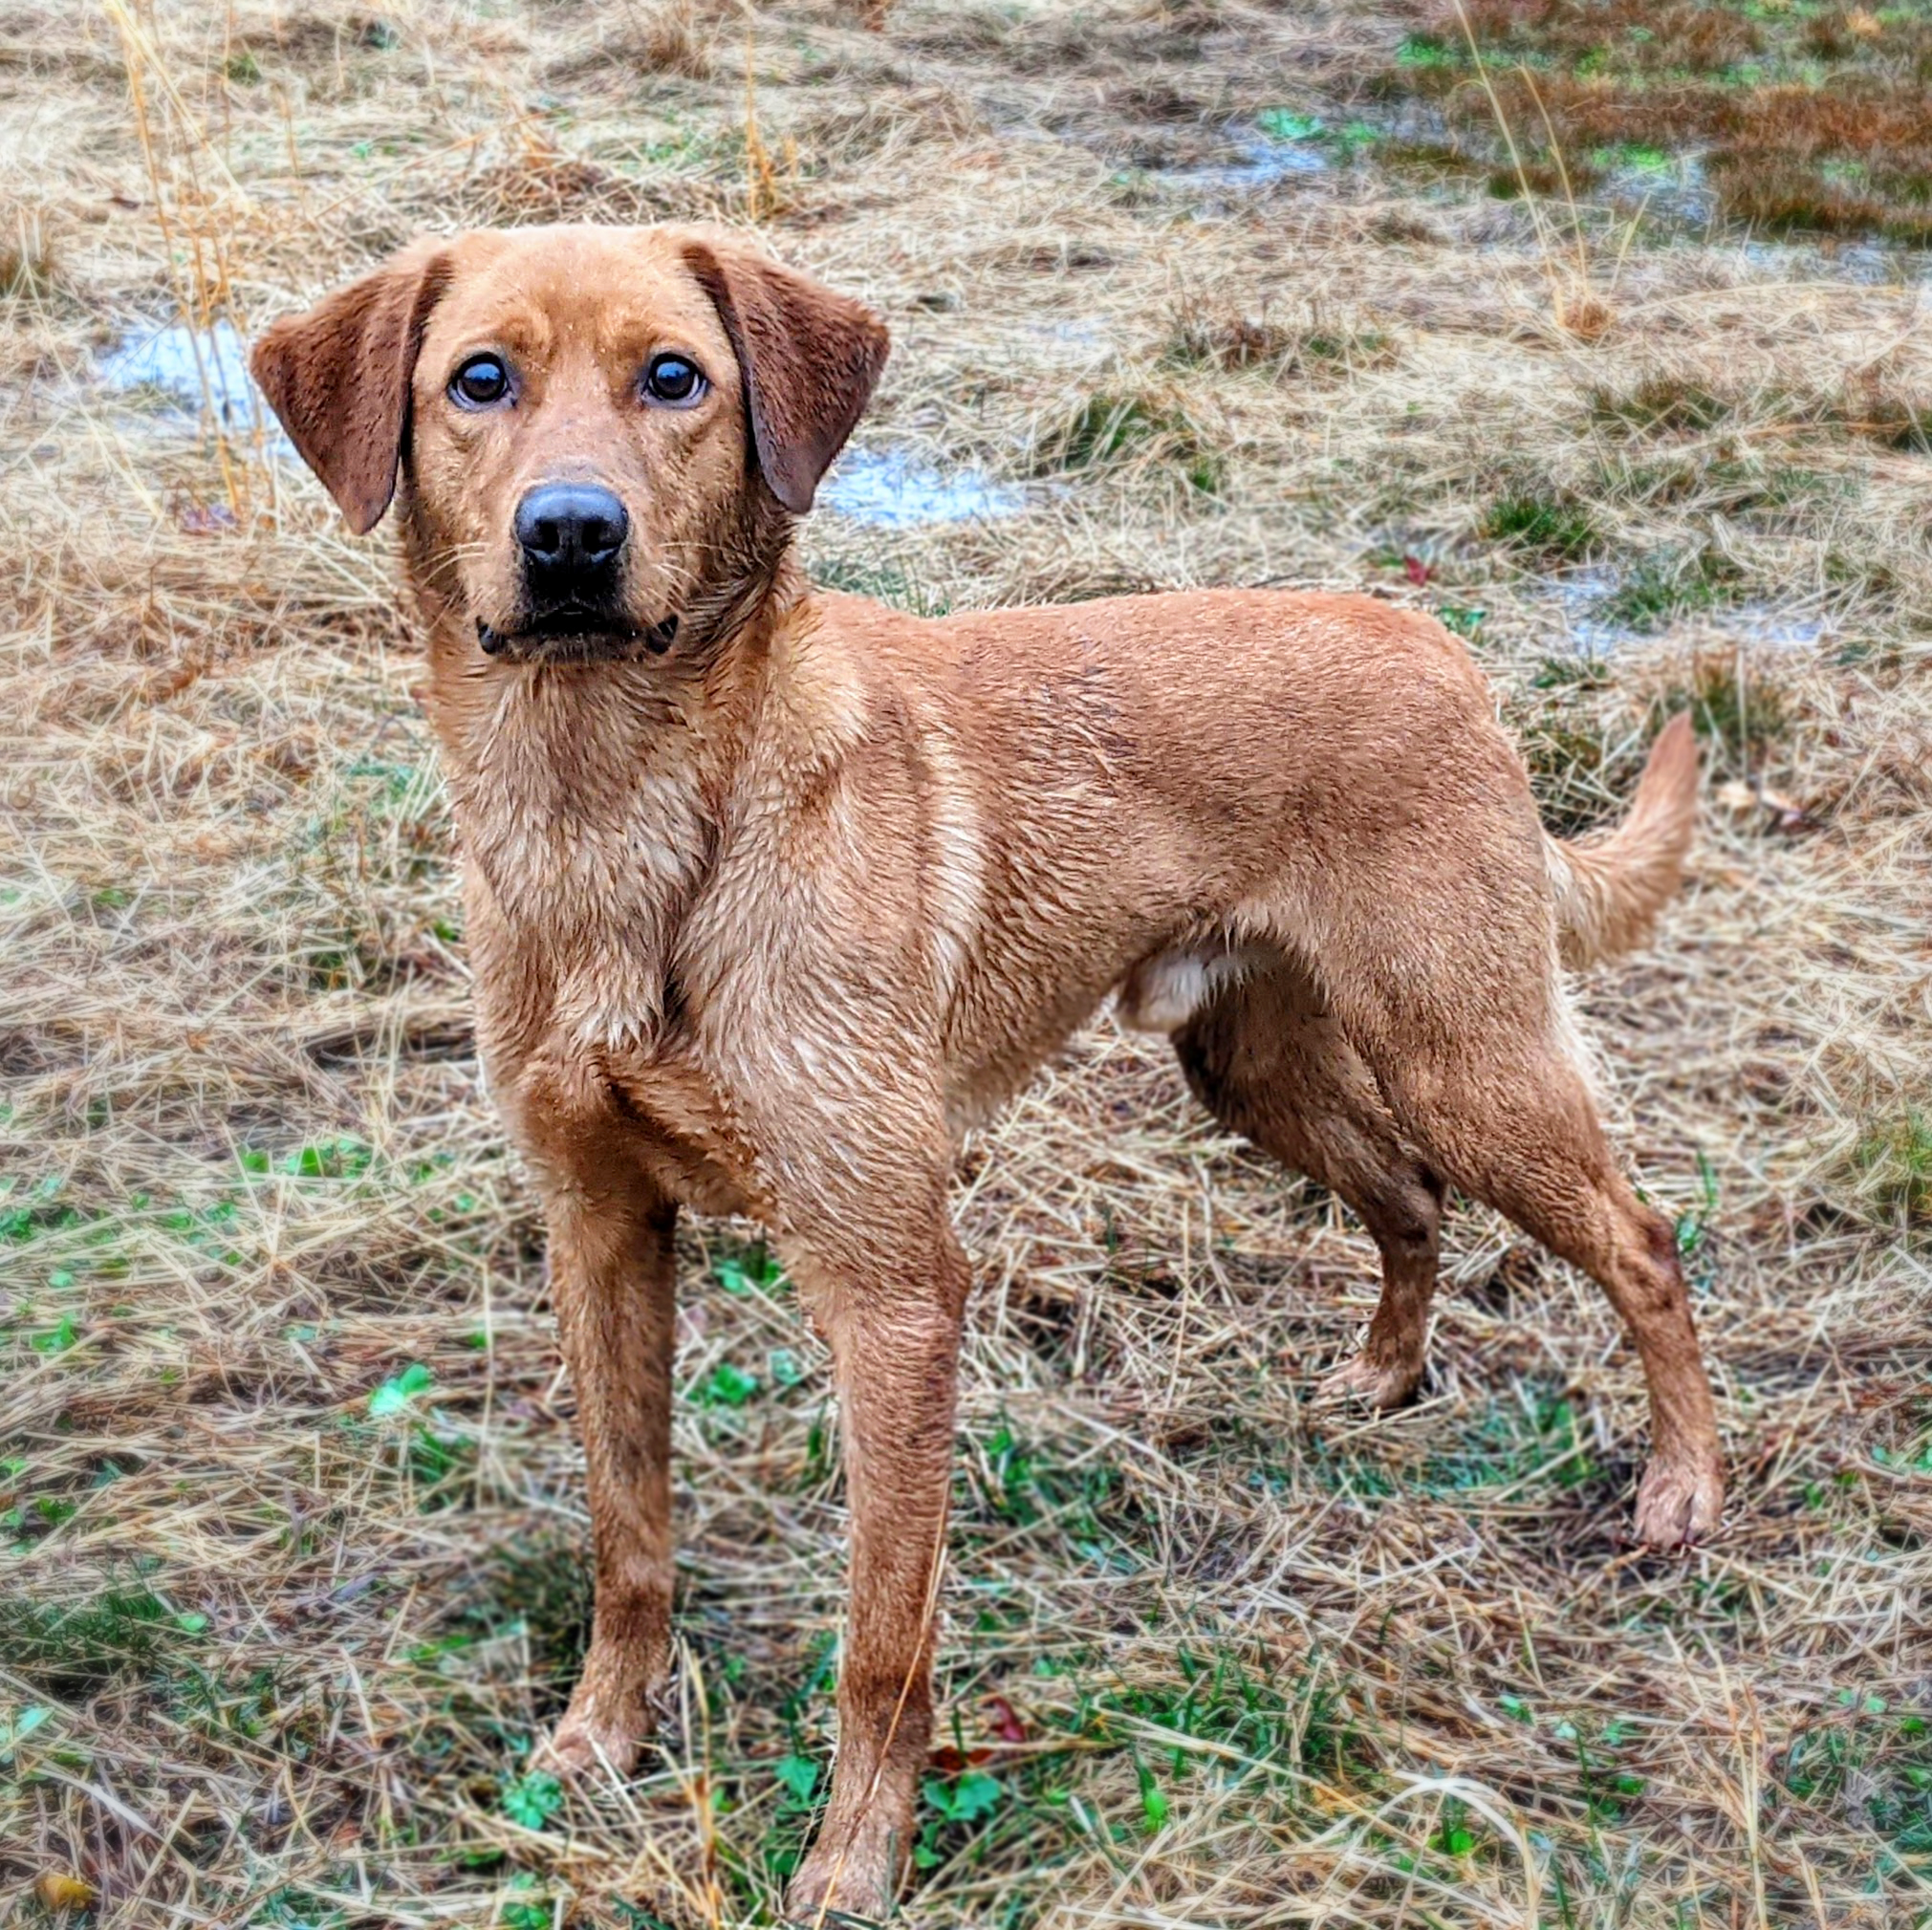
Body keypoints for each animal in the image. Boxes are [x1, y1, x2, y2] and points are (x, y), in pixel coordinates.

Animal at [252, 222, 1723, 1916]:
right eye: (477, 380)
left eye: (674, 378)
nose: (569, 537)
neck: (620, 820)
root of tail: (1439, 644)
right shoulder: (599, 1227)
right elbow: (629, 1531)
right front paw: (599, 1737)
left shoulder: (892, 1289)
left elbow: (882, 1635)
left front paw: (853, 1855)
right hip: (1251, 1064)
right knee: (1407, 1197)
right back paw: (1382, 1372)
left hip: (1465, 1052)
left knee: (1639, 1238)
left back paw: (1684, 1486)